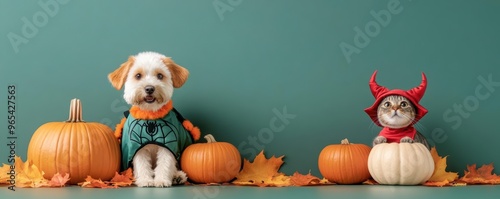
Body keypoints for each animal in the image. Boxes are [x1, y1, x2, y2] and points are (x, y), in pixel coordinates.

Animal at [108, 52, 200, 187]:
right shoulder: (136, 145)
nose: (149, 88)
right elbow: (141, 163)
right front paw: (145, 180)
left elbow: (165, 162)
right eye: (138, 75)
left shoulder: (168, 142)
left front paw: (161, 180)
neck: (150, 115)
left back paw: (177, 176)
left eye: (160, 75)